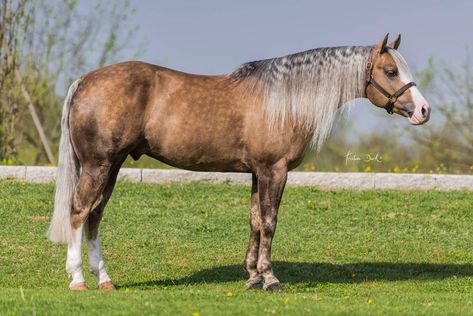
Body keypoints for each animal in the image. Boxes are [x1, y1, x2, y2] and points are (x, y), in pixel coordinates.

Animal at [48, 34, 432, 292]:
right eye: (390, 71)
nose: (424, 110)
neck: (284, 100)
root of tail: (85, 80)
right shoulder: (274, 171)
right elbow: (270, 223)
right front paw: (270, 278)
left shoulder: (256, 173)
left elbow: (254, 222)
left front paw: (251, 277)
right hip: (98, 164)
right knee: (79, 212)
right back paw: (78, 279)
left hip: (111, 166)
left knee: (95, 216)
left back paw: (105, 280)